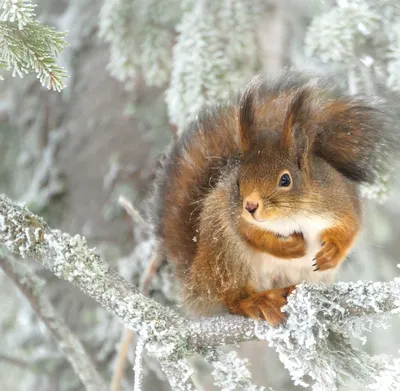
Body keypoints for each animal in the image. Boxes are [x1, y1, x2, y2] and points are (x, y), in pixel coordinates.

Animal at [150, 72, 396, 326]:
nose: (250, 206)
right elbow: (251, 234)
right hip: (225, 256)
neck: (293, 215)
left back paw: (288, 291)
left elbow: (349, 229)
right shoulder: (233, 215)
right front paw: (290, 247)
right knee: (232, 298)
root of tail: (196, 281)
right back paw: (257, 302)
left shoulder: (341, 201)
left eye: (285, 180)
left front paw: (331, 252)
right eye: (238, 181)